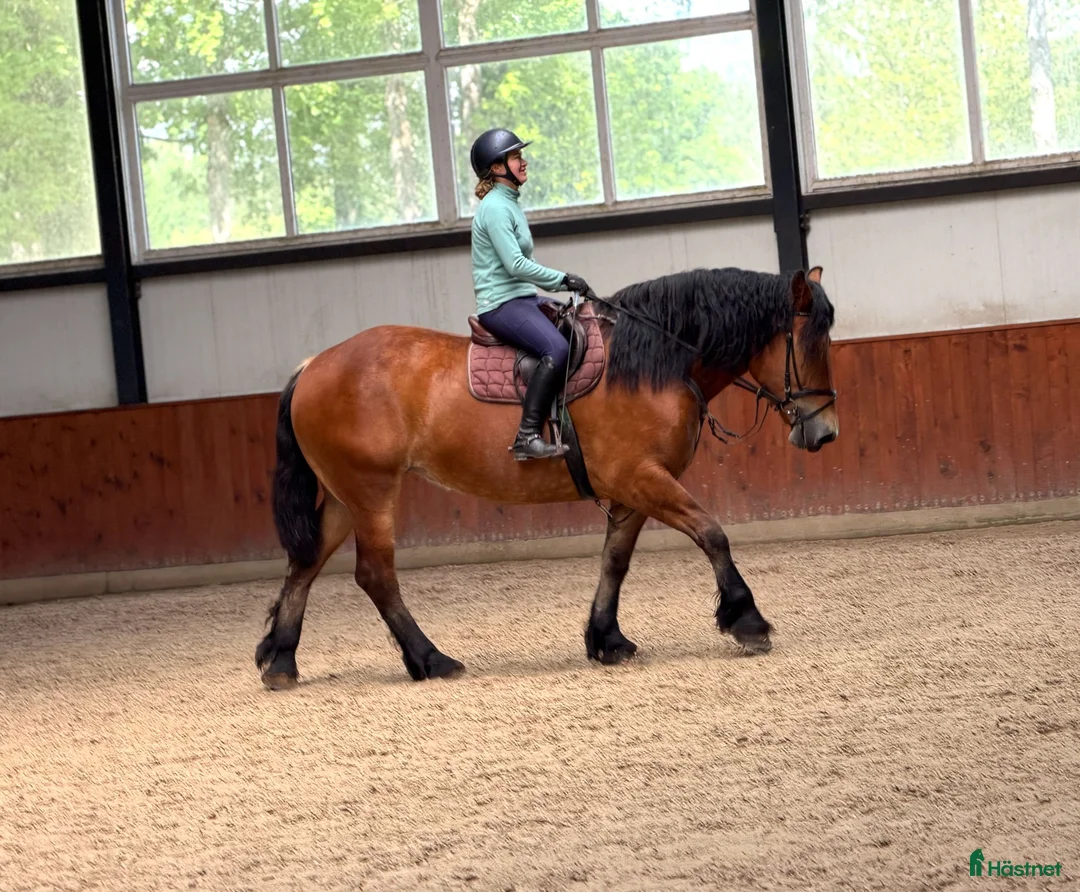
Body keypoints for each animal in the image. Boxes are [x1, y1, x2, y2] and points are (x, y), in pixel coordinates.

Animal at [256, 265, 839, 689]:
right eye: (808, 342)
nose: (826, 431)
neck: (652, 364)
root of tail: (314, 365)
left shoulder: (632, 489)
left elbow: (615, 561)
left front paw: (607, 639)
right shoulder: (644, 478)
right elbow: (713, 534)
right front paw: (748, 620)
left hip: (343, 497)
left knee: (306, 565)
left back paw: (281, 660)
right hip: (372, 491)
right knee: (376, 576)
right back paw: (432, 659)